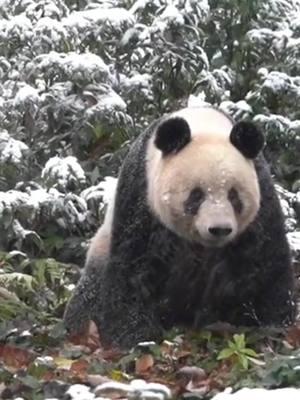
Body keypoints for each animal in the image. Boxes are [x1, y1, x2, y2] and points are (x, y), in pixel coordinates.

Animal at [63, 106, 296, 350]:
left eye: (234, 196)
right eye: (196, 195)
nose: (219, 229)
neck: (203, 125)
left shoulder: (260, 203)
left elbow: (263, 265)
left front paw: (268, 328)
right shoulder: (142, 199)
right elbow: (133, 269)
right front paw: (135, 338)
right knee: (87, 298)